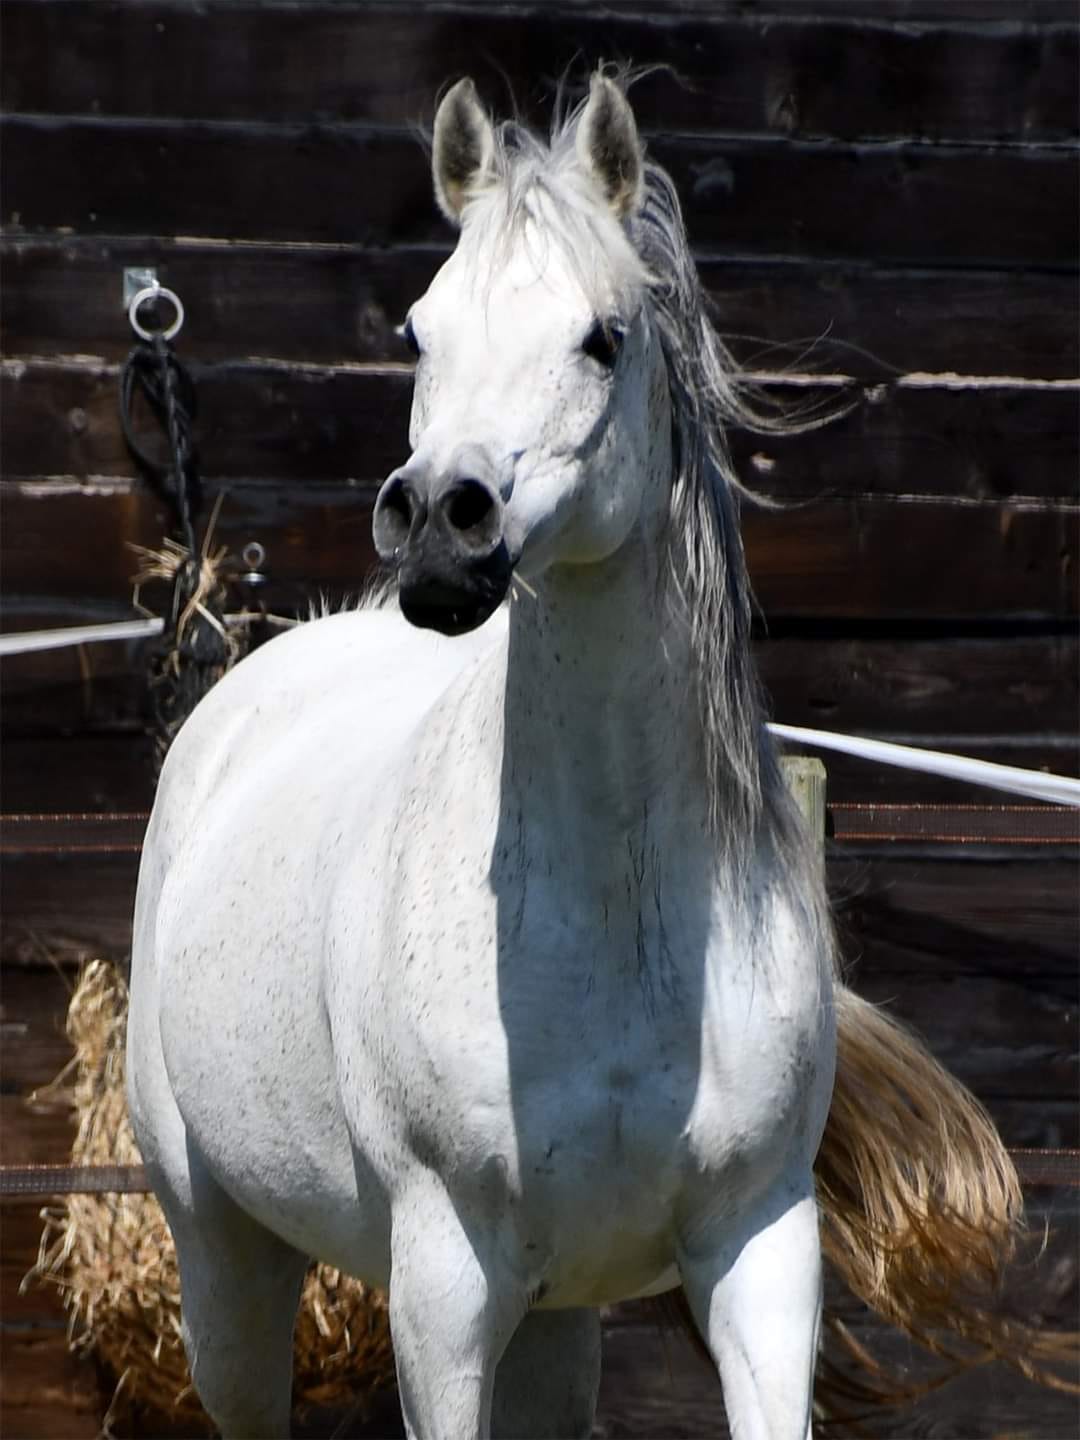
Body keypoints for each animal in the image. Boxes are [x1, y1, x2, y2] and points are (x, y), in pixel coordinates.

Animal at [128, 75, 1042, 1440]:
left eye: (602, 338)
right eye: (418, 333)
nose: (440, 526)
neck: (616, 917)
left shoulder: (759, 1251)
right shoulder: (445, 1285)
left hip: (552, 1324)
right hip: (225, 1259)